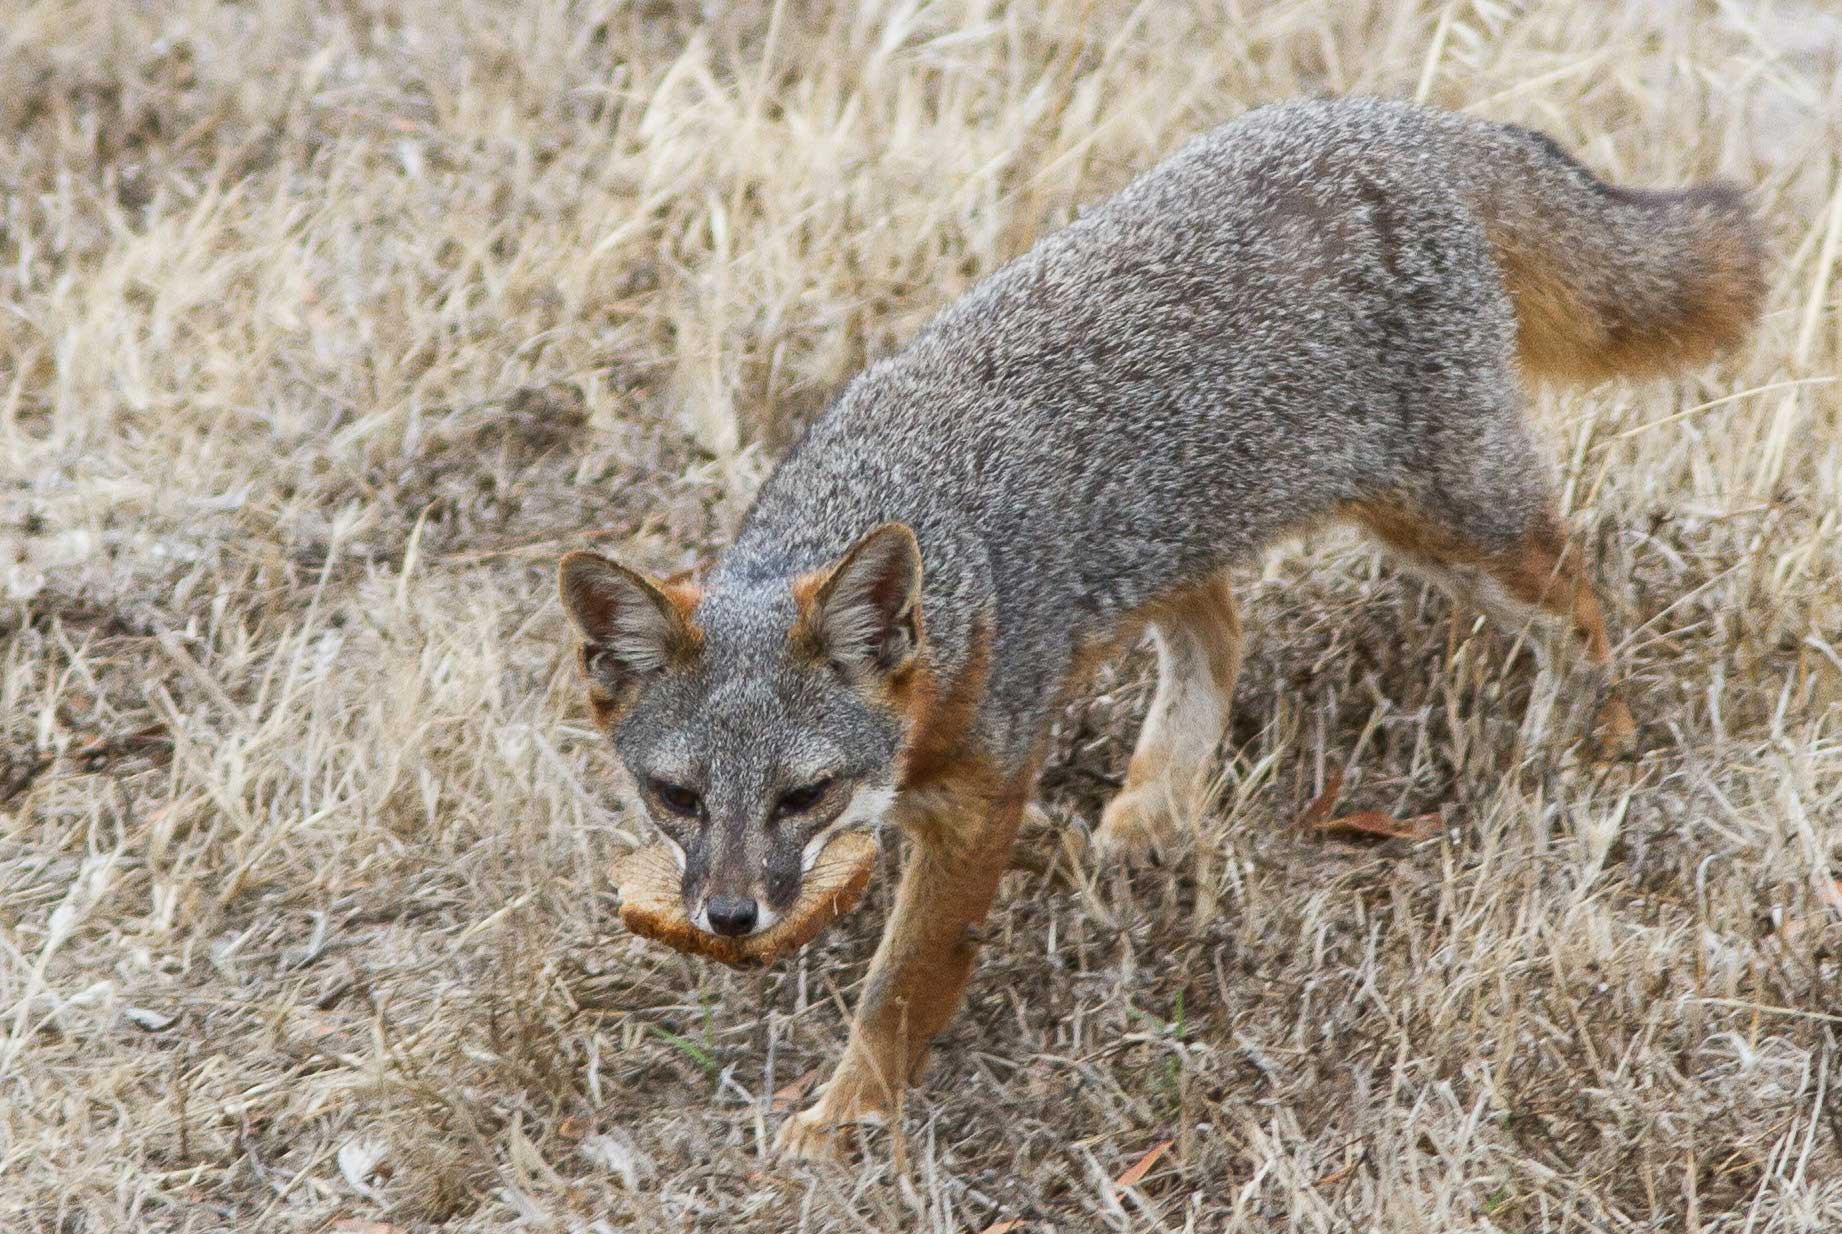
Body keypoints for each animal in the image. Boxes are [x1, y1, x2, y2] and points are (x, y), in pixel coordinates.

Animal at [555, 97, 1764, 1160]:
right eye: (676, 796)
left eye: (802, 795)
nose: (728, 917)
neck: (950, 568)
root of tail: (1416, 121)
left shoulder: (979, 808)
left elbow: (900, 989)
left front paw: (846, 1118)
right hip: (1180, 537)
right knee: (1222, 630)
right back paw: (1159, 799)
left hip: (1454, 525)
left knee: (1582, 594)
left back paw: (1595, 735)